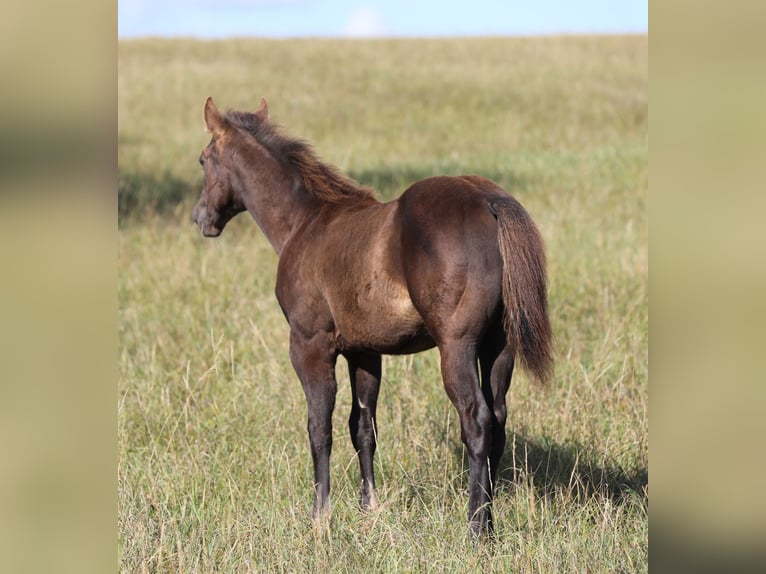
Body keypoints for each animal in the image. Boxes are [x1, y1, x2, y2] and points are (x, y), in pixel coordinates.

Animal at [191, 99, 552, 540]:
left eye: (204, 159)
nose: (200, 218)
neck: (305, 222)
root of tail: (488, 200)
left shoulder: (310, 346)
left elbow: (319, 429)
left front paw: (320, 516)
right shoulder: (364, 352)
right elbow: (363, 427)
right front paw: (370, 509)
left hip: (457, 347)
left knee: (478, 421)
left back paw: (475, 529)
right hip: (499, 348)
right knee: (498, 420)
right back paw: (491, 523)